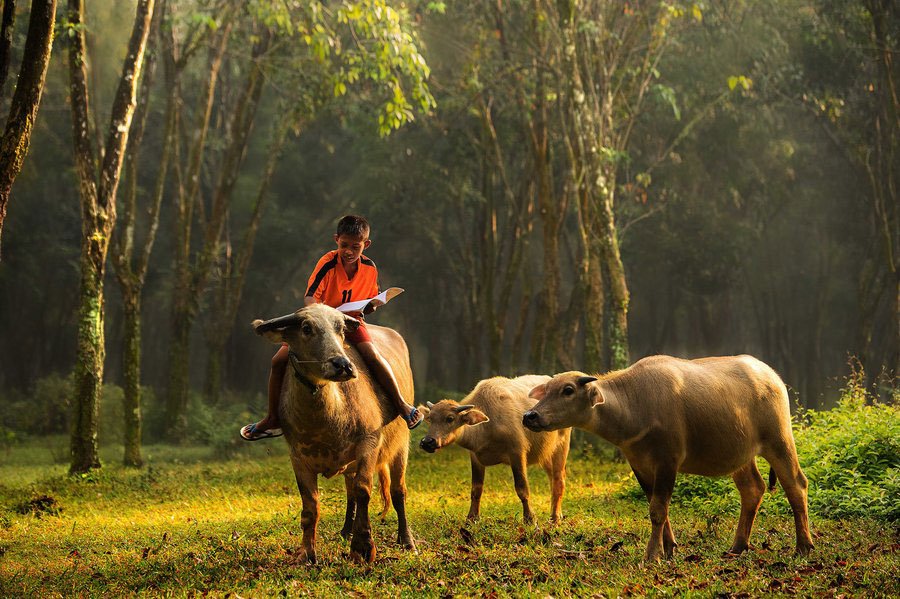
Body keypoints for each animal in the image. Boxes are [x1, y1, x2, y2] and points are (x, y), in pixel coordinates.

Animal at [253, 304, 414, 564]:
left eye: (340, 328)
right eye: (306, 328)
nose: (342, 365)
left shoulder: (369, 443)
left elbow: (364, 490)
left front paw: (363, 547)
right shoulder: (297, 457)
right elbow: (311, 504)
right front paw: (306, 553)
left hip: (401, 446)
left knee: (398, 492)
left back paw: (407, 541)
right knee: (350, 492)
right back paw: (346, 531)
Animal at [416, 378, 568, 524]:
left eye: (450, 418)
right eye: (430, 419)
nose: (427, 442)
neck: (488, 427)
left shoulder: (517, 452)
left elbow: (522, 488)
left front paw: (530, 519)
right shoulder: (475, 457)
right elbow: (476, 489)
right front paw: (472, 518)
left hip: (561, 447)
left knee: (559, 480)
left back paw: (555, 518)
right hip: (546, 454)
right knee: (552, 479)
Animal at [520, 356, 816, 564]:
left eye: (568, 390)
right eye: (547, 389)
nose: (530, 416)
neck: (635, 406)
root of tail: (772, 377)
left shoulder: (668, 460)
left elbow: (658, 510)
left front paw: (652, 554)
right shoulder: (639, 463)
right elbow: (657, 506)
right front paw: (669, 548)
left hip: (779, 439)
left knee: (796, 485)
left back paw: (803, 546)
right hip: (741, 454)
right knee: (753, 489)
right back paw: (738, 546)